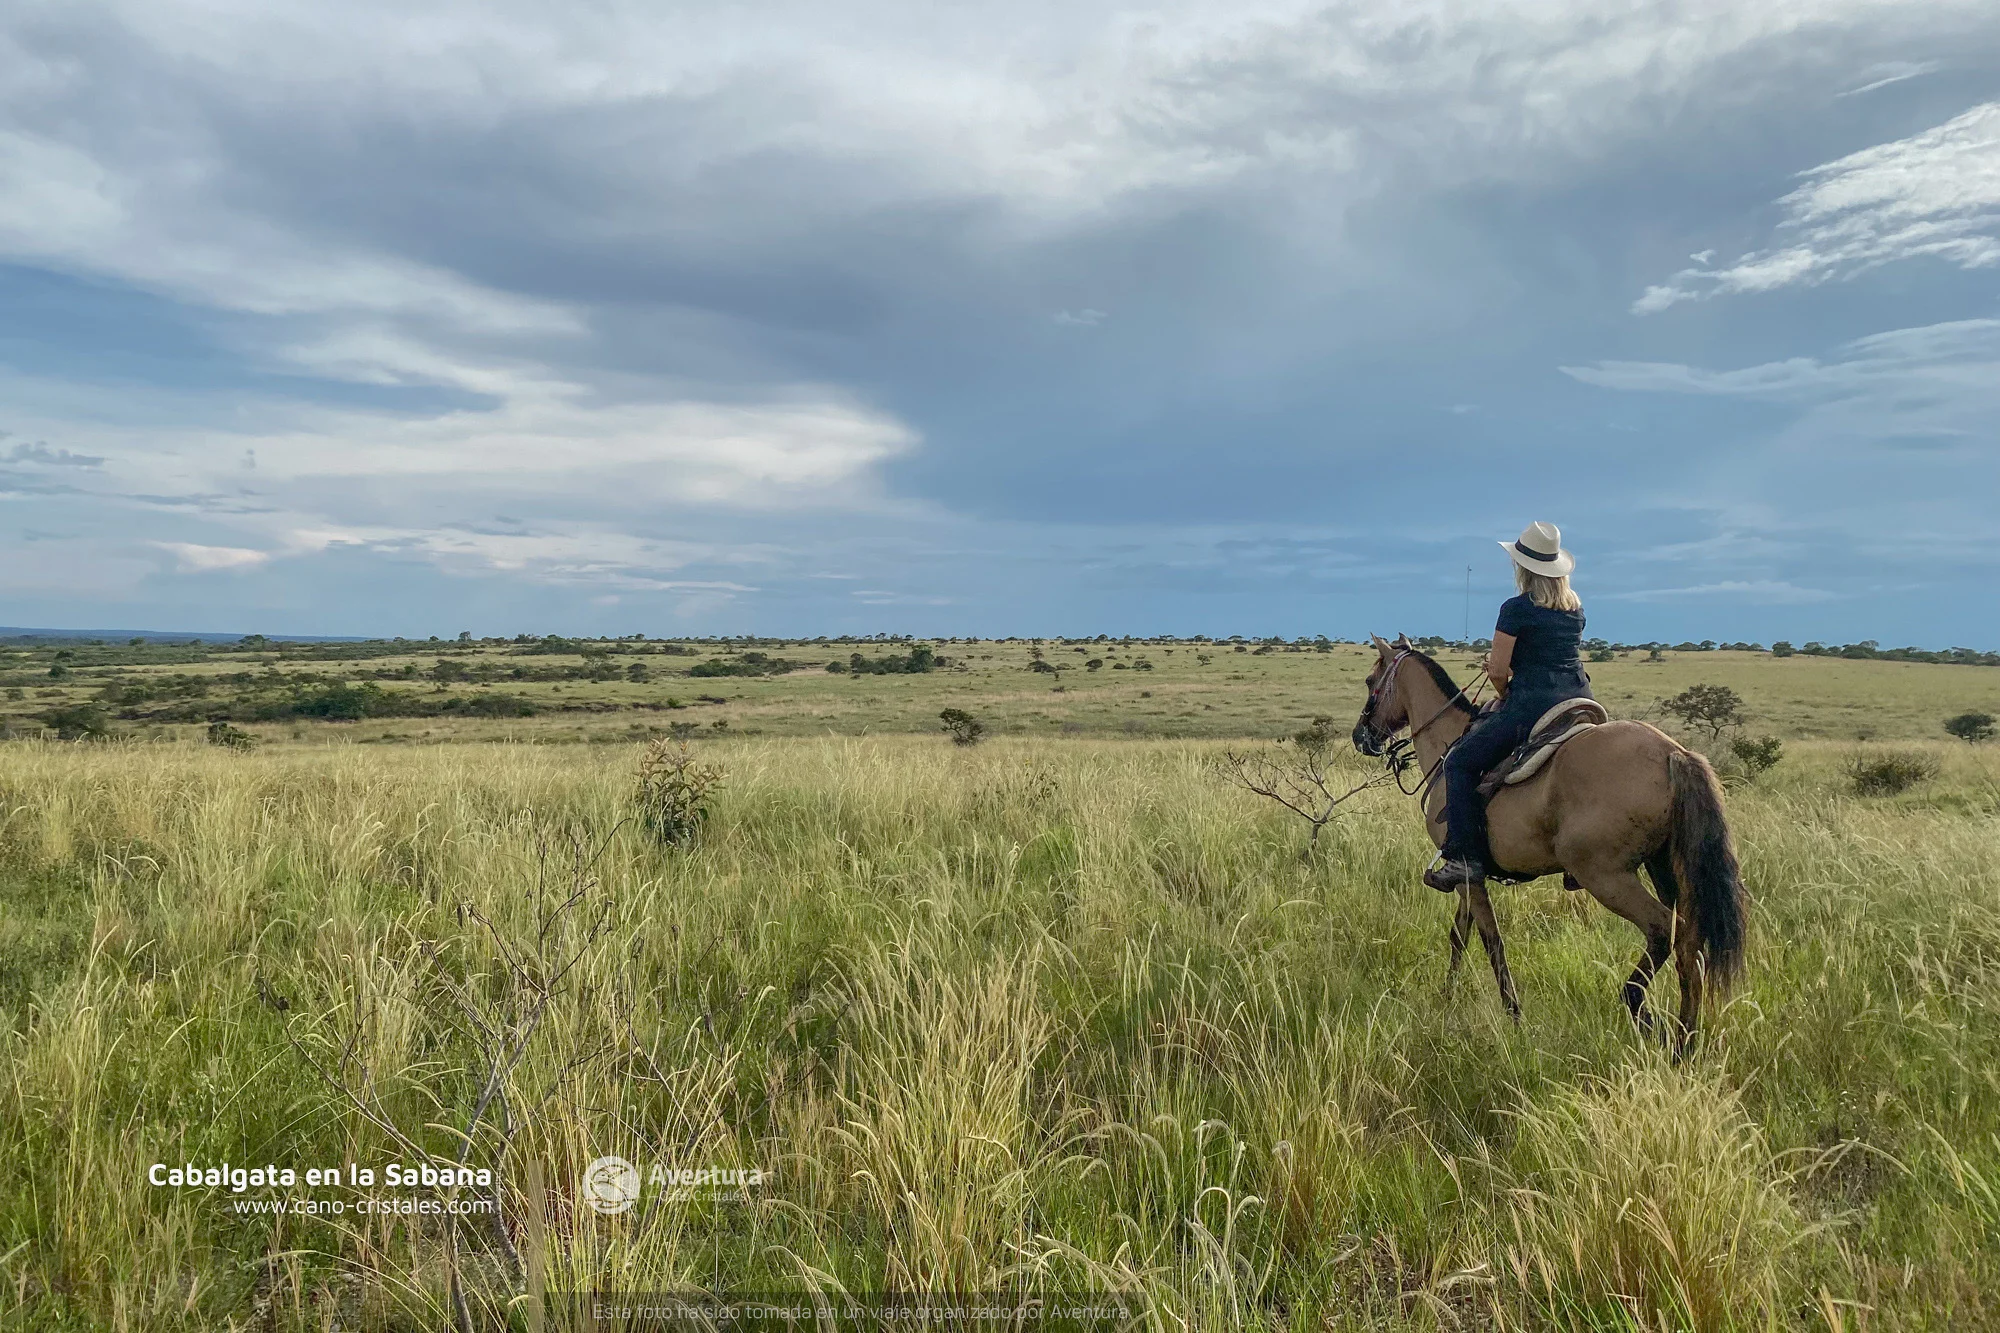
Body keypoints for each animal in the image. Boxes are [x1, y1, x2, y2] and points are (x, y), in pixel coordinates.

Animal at [1350, 635, 1747, 1048]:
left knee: (1663, 930)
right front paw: (1448, 996)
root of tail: (1673, 753)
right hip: (1663, 867)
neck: (1448, 745)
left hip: (1605, 877)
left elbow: (1492, 940)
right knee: (1691, 946)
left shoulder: (1466, 873)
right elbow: (1459, 934)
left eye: (1369, 681)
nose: (1360, 736)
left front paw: (1513, 1015)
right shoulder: (1466, 876)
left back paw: (1639, 1006)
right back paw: (1685, 1039)